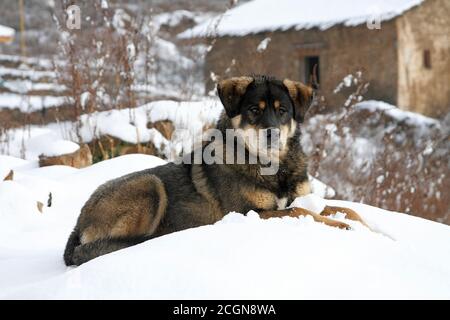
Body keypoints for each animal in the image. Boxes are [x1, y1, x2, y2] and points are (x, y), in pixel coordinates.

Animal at [63, 74, 366, 264]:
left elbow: (346, 210)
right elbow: (301, 212)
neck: (272, 167)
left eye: (283, 111)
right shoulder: (252, 213)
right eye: (254, 110)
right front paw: (342, 227)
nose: (273, 135)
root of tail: (76, 226)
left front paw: (368, 227)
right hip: (150, 185)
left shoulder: (300, 197)